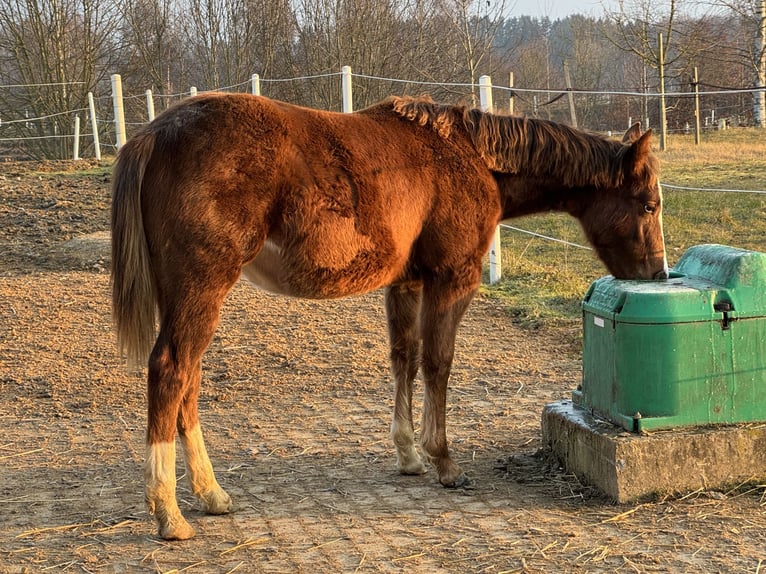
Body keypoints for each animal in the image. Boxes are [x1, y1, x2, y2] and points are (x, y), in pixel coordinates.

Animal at [111, 93, 667, 540]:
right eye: (648, 204)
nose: (659, 273)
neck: (472, 159)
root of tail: (154, 134)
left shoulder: (406, 284)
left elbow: (406, 358)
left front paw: (408, 455)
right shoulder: (451, 281)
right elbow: (438, 364)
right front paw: (443, 461)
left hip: (188, 297)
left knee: (188, 379)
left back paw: (211, 495)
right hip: (201, 290)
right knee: (171, 370)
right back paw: (168, 513)